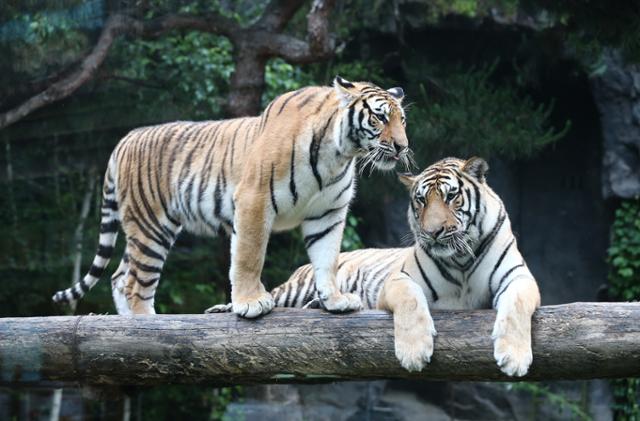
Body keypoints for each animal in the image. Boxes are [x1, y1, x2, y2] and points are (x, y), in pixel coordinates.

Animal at [50, 76, 410, 318]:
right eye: (379, 117)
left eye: (402, 119)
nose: (402, 146)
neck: (339, 153)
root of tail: (125, 139)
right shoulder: (254, 199)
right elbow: (249, 256)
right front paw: (251, 303)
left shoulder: (327, 213)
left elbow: (327, 259)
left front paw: (335, 300)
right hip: (150, 224)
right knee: (135, 282)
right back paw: (144, 325)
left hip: (146, 228)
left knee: (119, 275)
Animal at [209, 156, 540, 376]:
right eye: (421, 201)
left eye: (451, 196)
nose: (433, 232)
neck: (460, 259)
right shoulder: (400, 280)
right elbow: (411, 304)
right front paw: (414, 353)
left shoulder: (520, 279)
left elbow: (516, 308)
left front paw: (514, 358)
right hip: (295, 288)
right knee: (266, 298)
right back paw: (223, 309)